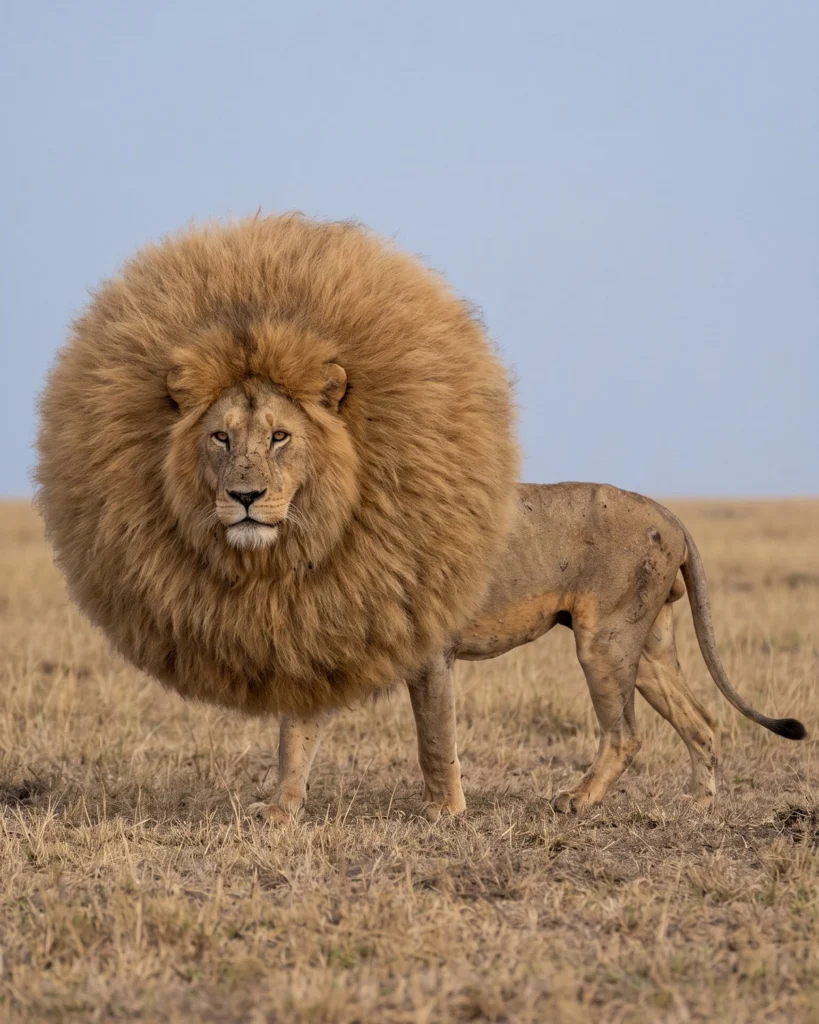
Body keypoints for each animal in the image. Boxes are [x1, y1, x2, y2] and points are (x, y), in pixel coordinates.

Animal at [250, 482, 806, 822]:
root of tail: (668, 513)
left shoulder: (432, 657)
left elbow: (434, 739)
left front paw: (445, 811)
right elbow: (293, 742)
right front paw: (279, 811)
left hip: (604, 639)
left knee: (625, 734)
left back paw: (577, 800)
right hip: (647, 649)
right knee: (702, 721)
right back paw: (697, 803)